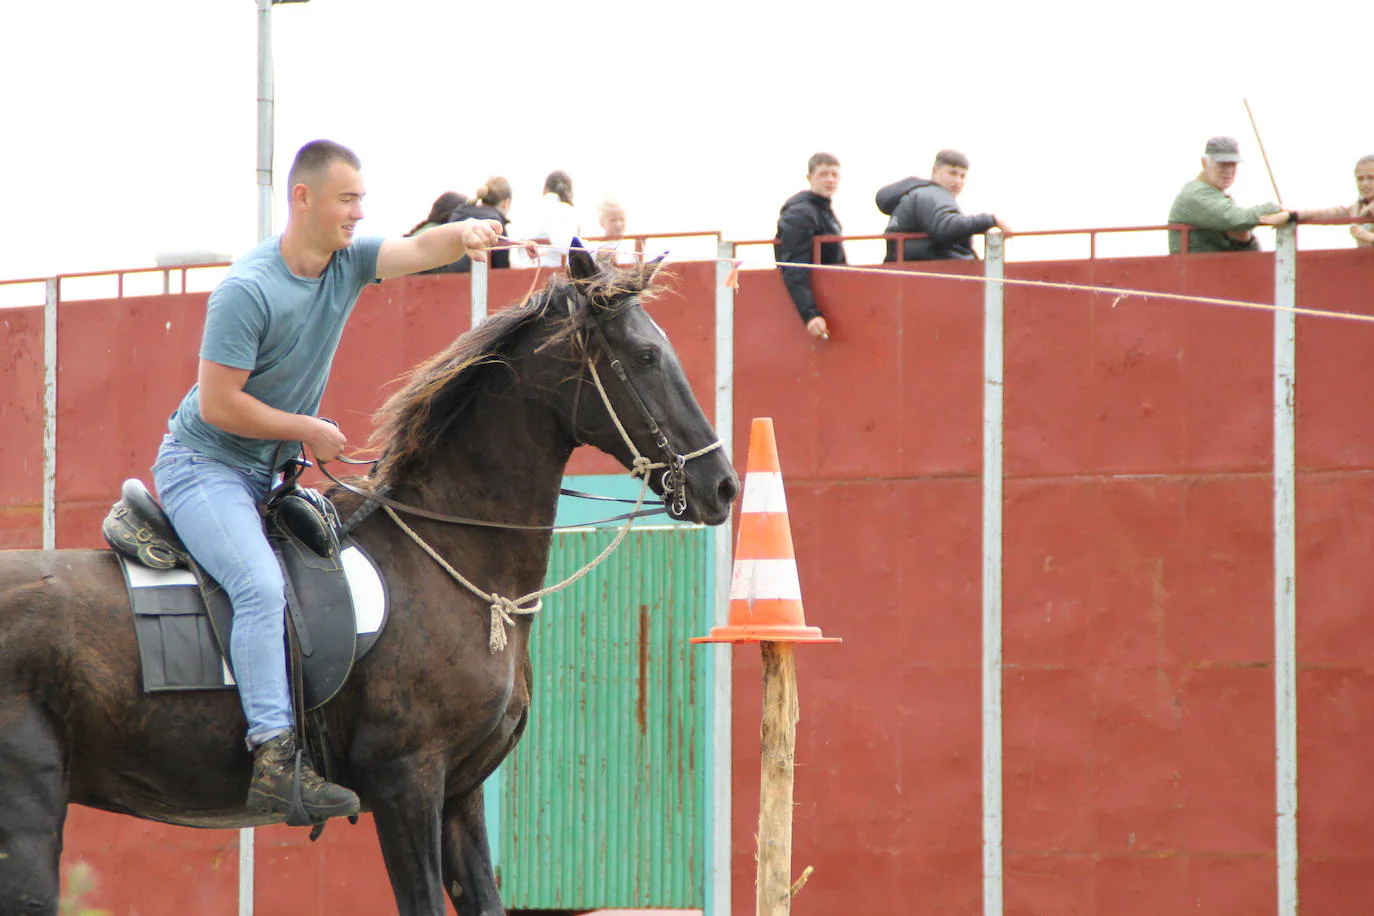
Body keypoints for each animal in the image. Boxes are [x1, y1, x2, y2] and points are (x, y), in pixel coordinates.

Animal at [0, 247, 741, 911]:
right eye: (645, 357)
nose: (723, 486)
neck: (447, 562)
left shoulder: (461, 795)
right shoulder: (405, 784)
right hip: (30, 808)